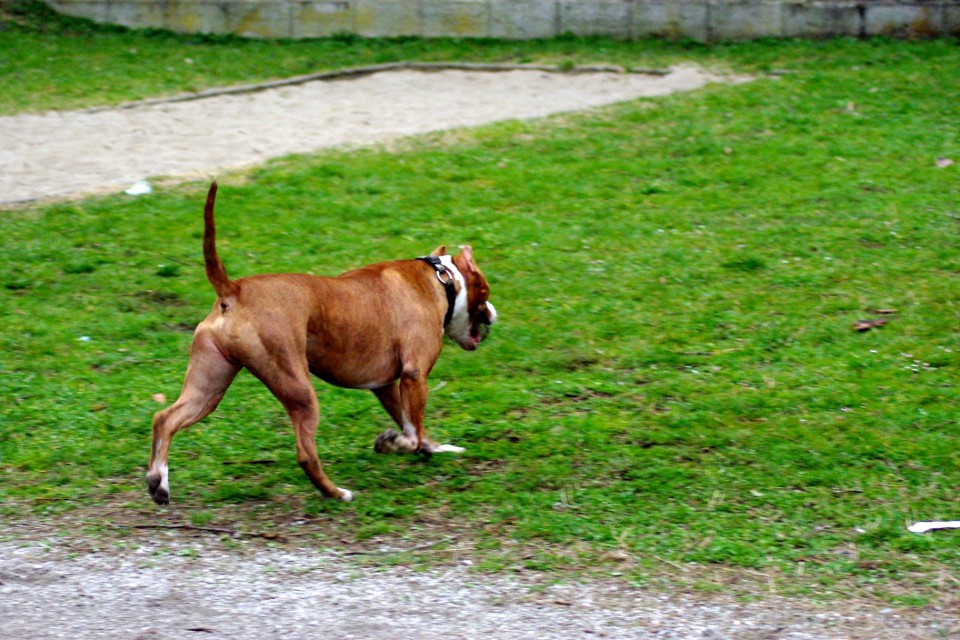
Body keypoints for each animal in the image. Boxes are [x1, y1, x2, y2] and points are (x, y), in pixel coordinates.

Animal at [148, 181, 502, 504]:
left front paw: (436, 448)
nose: (495, 313)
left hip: (209, 388)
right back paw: (337, 494)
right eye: (485, 290)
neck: (441, 279)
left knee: (165, 418)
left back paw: (158, 482)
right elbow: (412, 433)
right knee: (306, 455)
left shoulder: (386, 385)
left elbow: (414, 427)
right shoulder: (414, 376)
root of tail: (233, 290)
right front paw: (393, 443)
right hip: (299, 391)